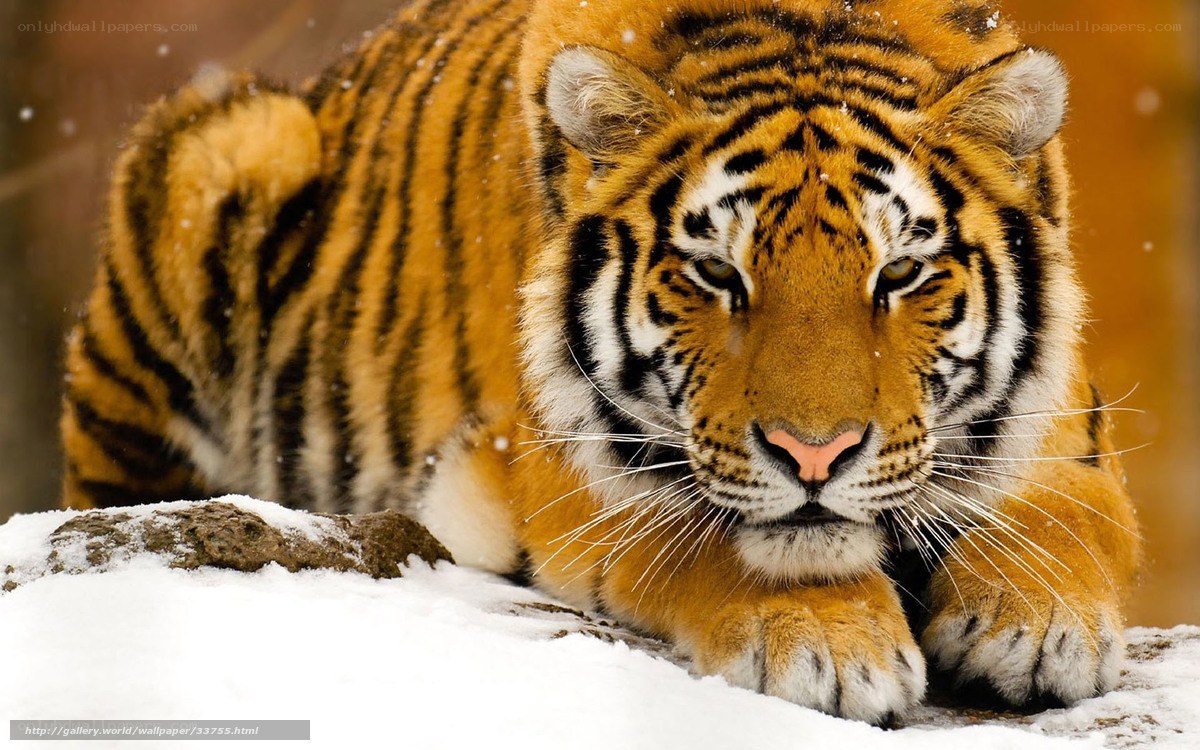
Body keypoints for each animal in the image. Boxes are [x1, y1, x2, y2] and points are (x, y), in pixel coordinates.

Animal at [60, 0, 1141, 723]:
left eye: (900, 273)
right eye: (717, 273)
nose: (815, 454)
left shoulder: (1063, 422)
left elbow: (1064, 512)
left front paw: (1035, 623)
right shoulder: (558, 457)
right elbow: (707, 534)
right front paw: (830, 647)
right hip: (228, 144)